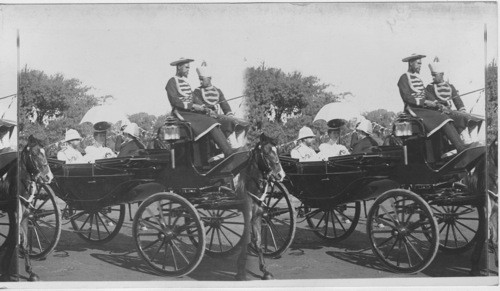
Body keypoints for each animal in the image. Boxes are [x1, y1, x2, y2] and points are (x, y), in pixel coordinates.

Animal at [234, 133, 286, 282]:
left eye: (277, 151)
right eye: (267, 153)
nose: (281, 174)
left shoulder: (257, 216)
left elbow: (257, 241)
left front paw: (264, 270)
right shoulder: (247, 215)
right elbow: (245, 240)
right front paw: (240, 270)